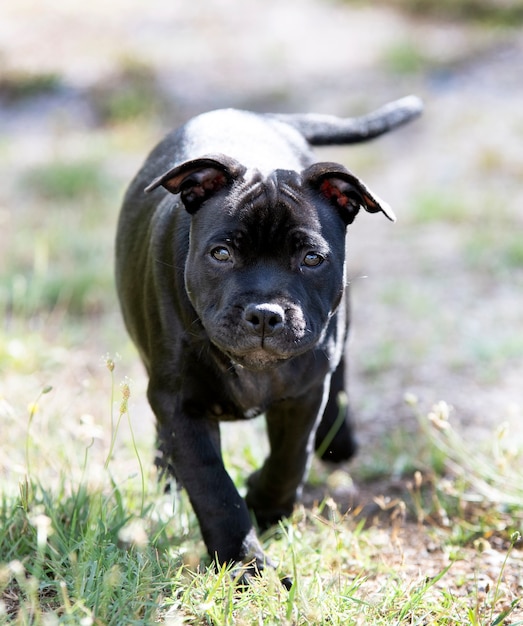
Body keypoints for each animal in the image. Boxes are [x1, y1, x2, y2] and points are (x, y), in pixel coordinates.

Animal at [114, 92, 422, 584]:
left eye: (312, 258)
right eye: (221, 253)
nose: (264, 314)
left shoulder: (303, 392)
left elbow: (291, 458)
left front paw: (264, 502)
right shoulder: (181, 404)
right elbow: (213, 486)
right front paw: (245, 565)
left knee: (339, 377)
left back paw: (339, 438)